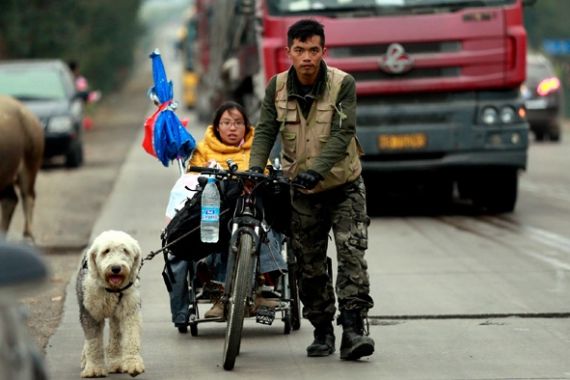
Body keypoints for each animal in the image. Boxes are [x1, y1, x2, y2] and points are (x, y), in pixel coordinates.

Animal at [76, 229, 144, 378]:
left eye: (125, 250)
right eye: (106, 251)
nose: (116, 268)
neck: (112, 290)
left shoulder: (129, 310)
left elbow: (131, 336)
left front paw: (133, 363)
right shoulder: (90, 313)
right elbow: (93, 342)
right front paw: (94, 368)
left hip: (115, 315)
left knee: (115, 335)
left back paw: (116, 363)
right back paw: (85, 359)